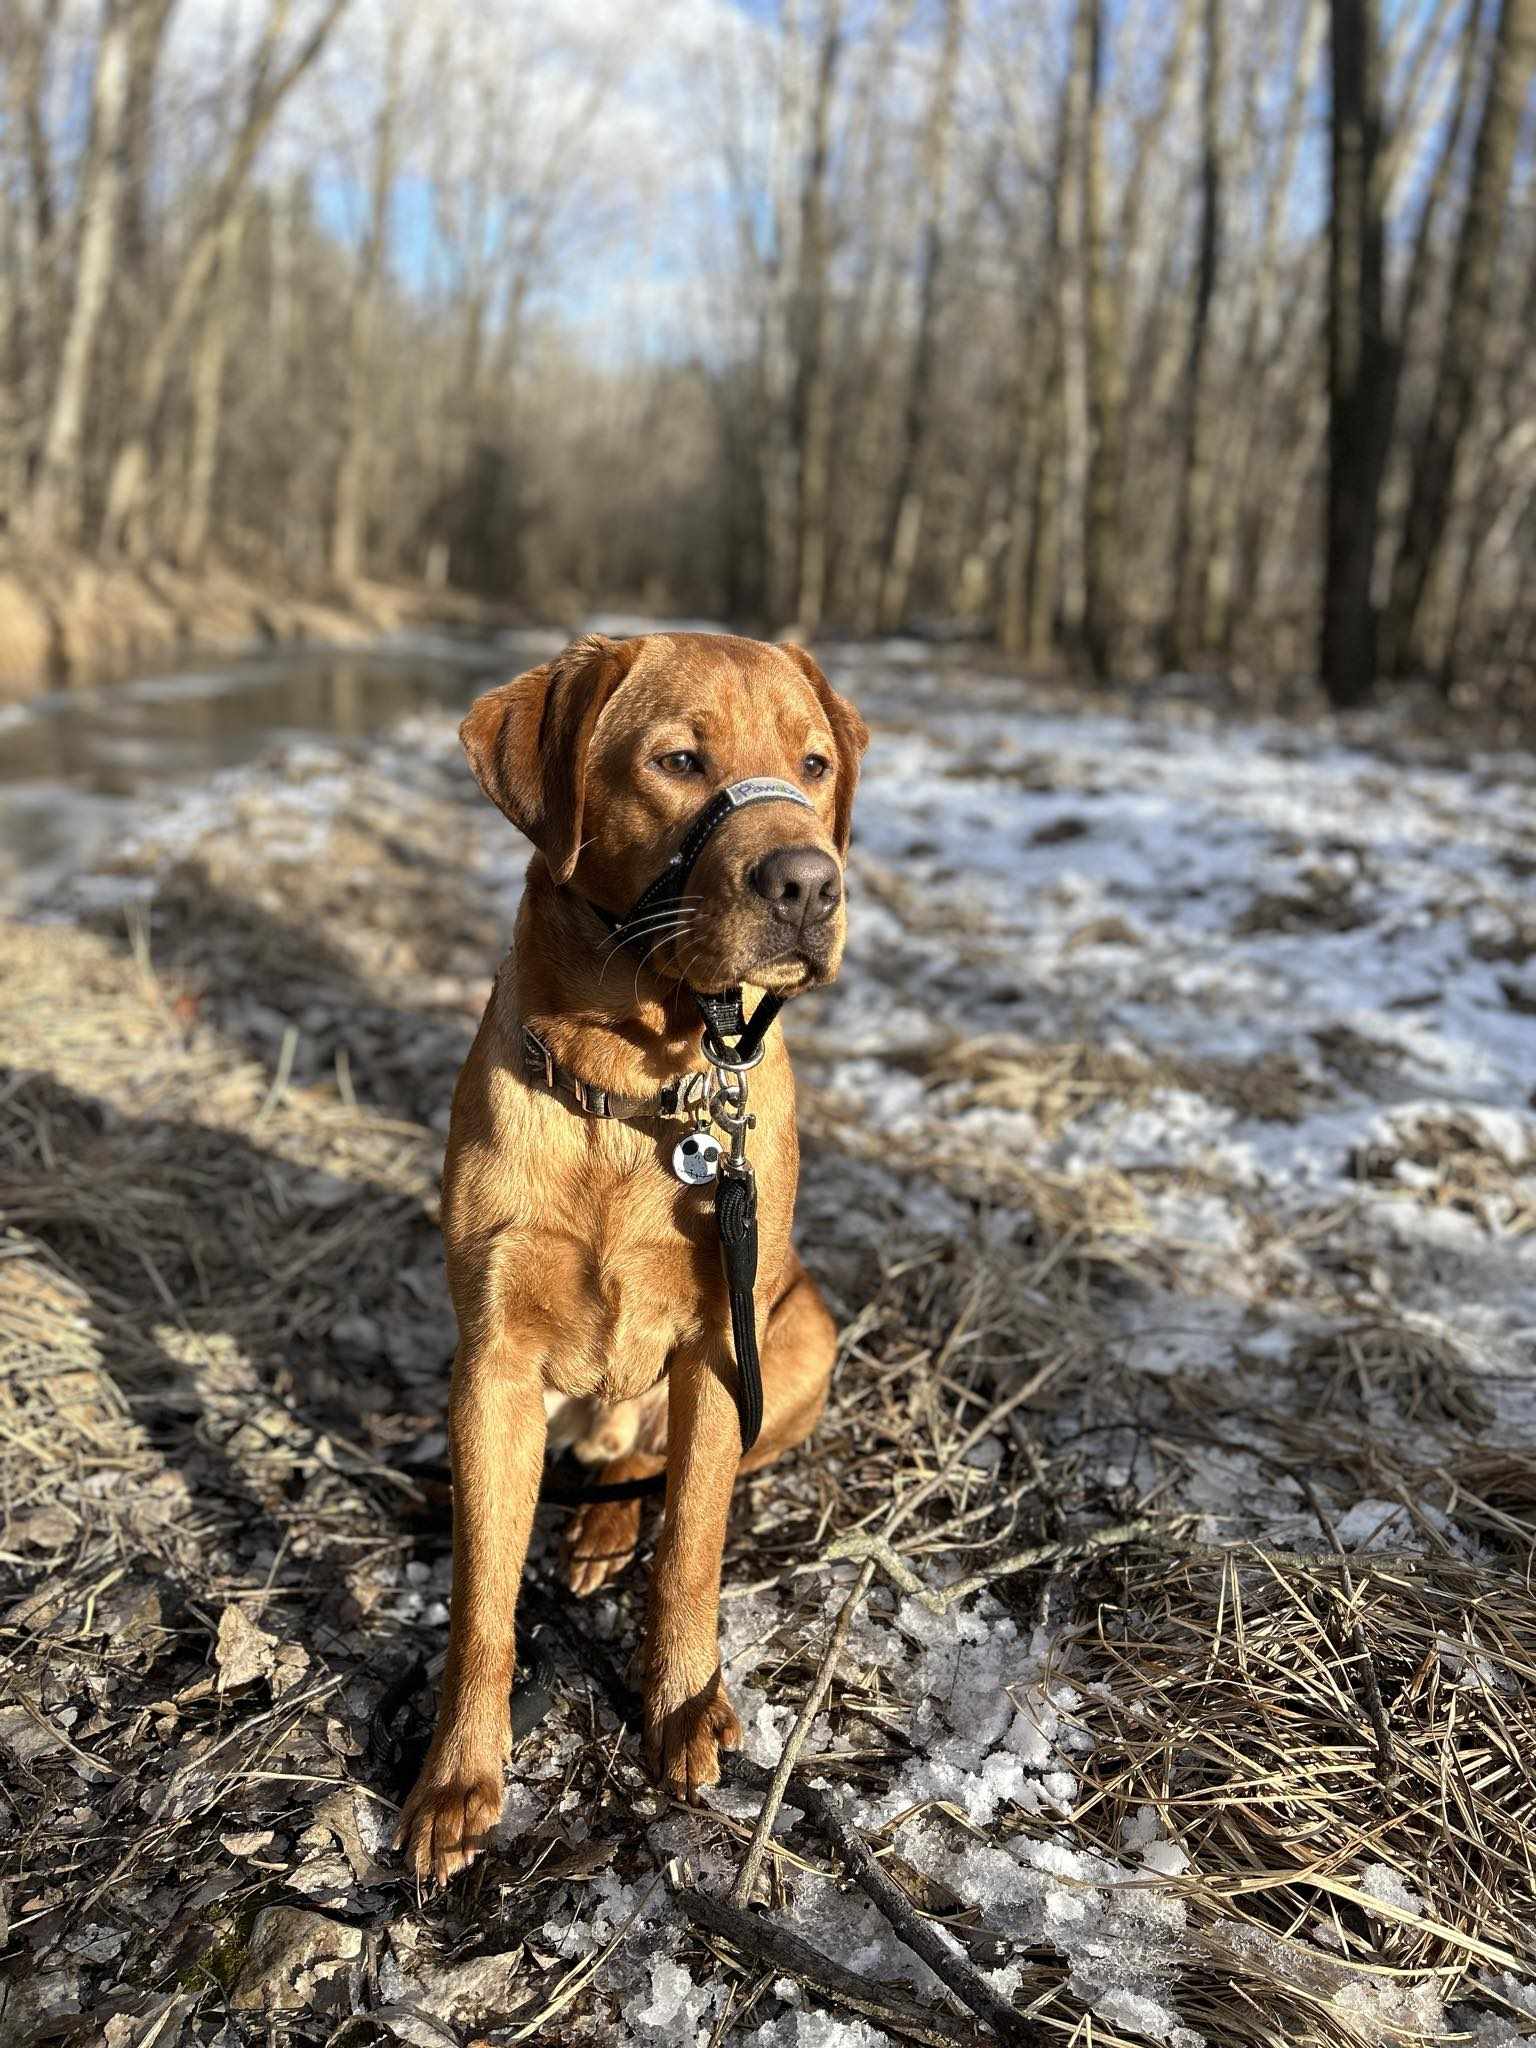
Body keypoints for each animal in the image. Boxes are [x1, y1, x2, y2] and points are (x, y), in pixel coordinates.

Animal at [397, 630, 868, 1875]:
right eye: (678, 759)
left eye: (812, 762)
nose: (809, 884)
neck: (637, 1085)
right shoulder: (493, 1367)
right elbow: (482, 1598)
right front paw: (458, 1773)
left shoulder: (717, 1341)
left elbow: (693, 1543)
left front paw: (684, 1704)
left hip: (799, 1337)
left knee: (662, 1467)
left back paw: (614, 1518)